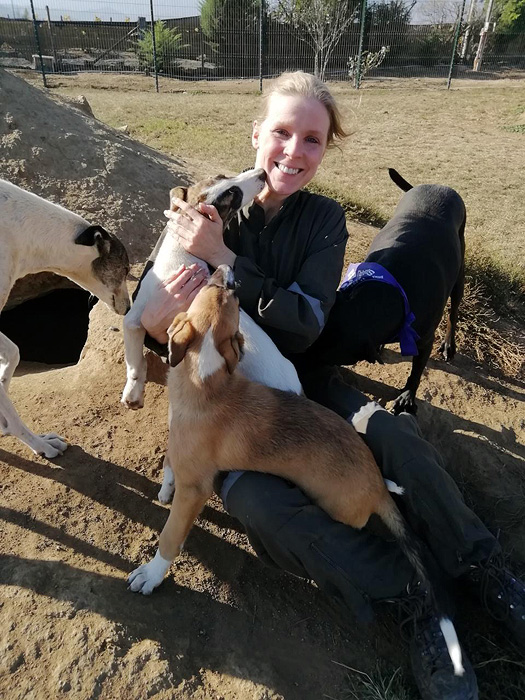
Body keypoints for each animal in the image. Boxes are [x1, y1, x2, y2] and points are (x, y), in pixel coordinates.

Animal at [128, 266, 462, 676]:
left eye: (225, 295)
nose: (227, 272)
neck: (207, 379)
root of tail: (375, 488)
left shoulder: (196, 490)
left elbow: (170, 536)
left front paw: (151, 575)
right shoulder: (181, 447)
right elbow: (170, 463)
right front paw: (164, 486)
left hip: (334, 507)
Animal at [302, 168, 466, 416]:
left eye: (325, 355)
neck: (387, 293)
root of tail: (439, 186)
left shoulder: (424, 339)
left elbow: (417, 371)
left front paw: (407, 396)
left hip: (459, 275)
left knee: (453, 312)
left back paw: (449, 345)